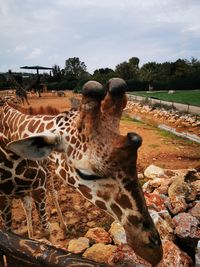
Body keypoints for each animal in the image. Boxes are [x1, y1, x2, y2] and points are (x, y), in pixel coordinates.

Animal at [0, 78, 162, 266]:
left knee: (49, 194)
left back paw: (63, 227)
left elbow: (45, 232)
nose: (154, 250)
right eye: (86, 173)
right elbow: (12, 233)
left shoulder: (38, 187)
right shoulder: (4, 197)